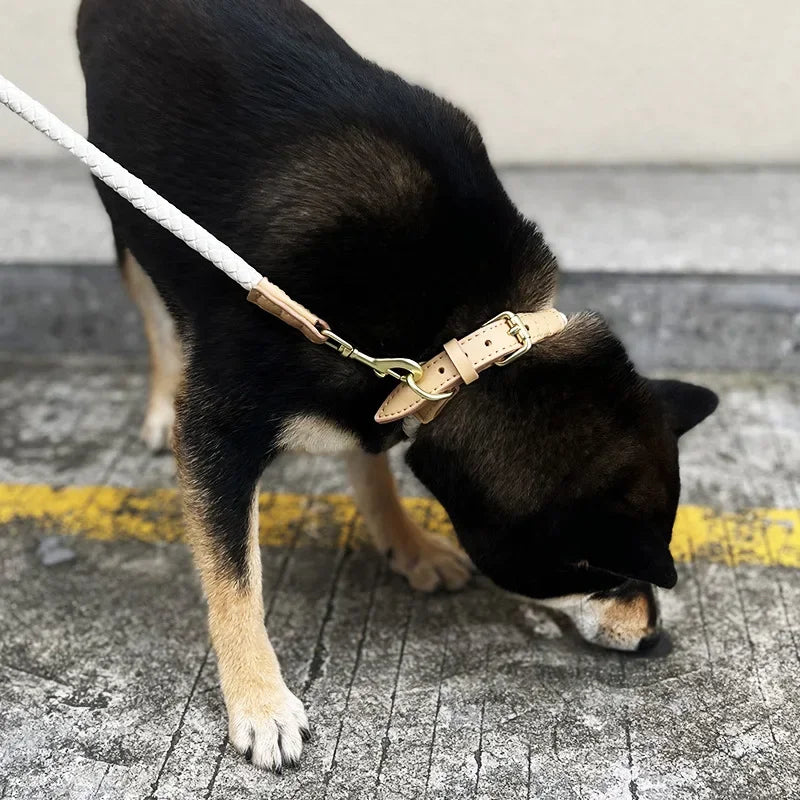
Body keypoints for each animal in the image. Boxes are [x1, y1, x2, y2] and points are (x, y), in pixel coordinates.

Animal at [76, 0, 720, 776]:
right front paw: (259, 701)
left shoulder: (385, 388)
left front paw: (407, 544)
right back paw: (156, 403)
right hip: (127, 204)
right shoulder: (220, 427)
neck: (461, 331)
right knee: (150, 306)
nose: (656, 637)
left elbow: (372, 460)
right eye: (603, 569)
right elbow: (235, 580)